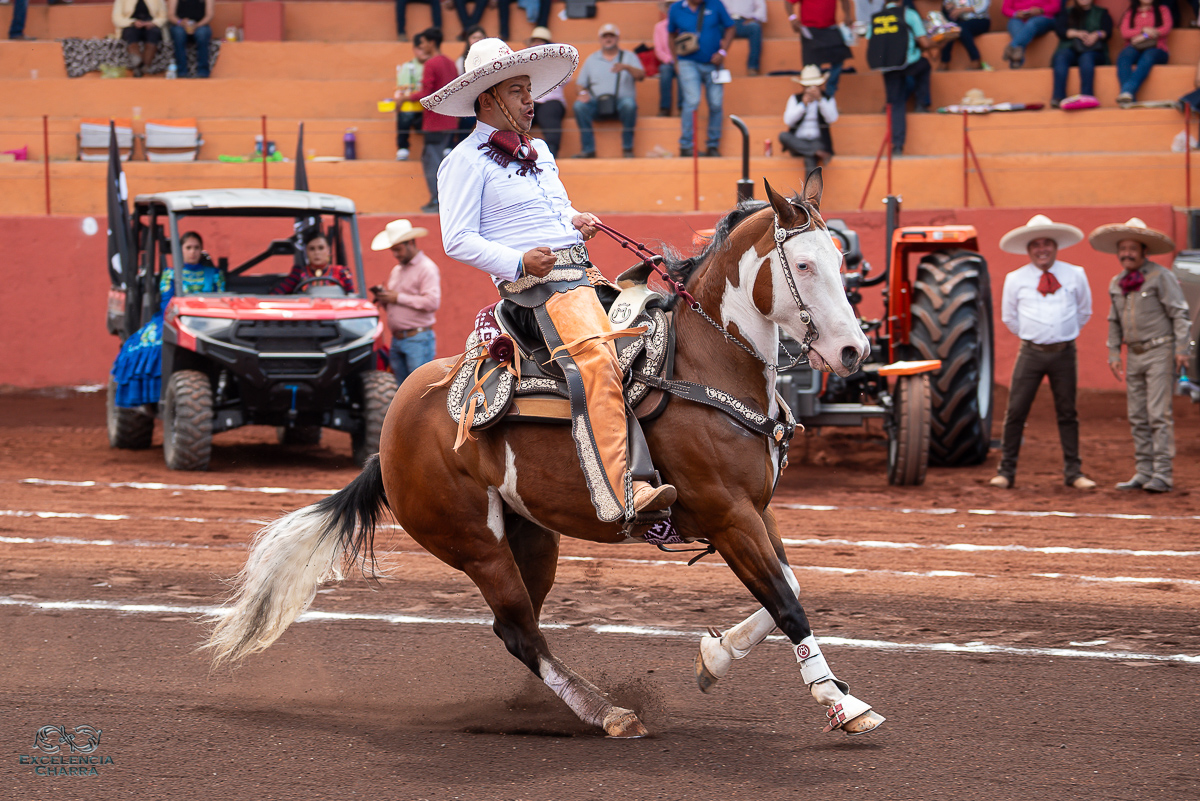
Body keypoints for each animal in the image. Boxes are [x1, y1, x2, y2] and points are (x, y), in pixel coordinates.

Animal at [204, 170, 884, 738]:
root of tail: (391, 433)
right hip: (475, 545)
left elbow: (787, 585)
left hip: (532, 536)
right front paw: (841, 704)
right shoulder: (727, 514)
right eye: (803, 263)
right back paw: (609, 713)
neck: (703, 364)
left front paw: (715, 656)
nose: (855, 351)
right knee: (518, 630)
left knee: (520, 625)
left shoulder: (755, 510)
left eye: (842, 258)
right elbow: (787, 602)